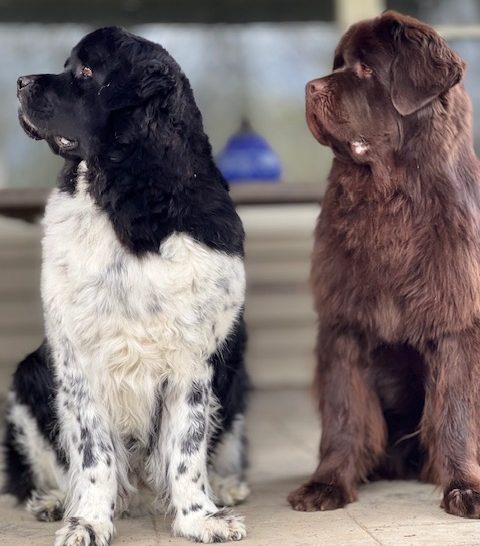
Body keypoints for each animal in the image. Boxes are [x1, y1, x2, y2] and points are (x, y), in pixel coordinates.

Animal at [5, 26, 249, 544]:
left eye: (87, 70)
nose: (19, 82)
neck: (127, 199)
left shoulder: (194, 357)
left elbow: (187, 444)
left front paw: (201, 516)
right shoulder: (79, 356)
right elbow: (93, 451)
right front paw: (88, 521)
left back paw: (226, 486)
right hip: (27, 376)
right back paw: (51, 500)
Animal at [288, 10, 480, 516]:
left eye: (366, 69)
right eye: (336, 64)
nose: (310, 88)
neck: (388, 201)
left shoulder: (455, 323)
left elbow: (456, 410)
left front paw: (465, 488)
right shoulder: (344, 325)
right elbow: (344, 412)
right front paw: (327, 483)